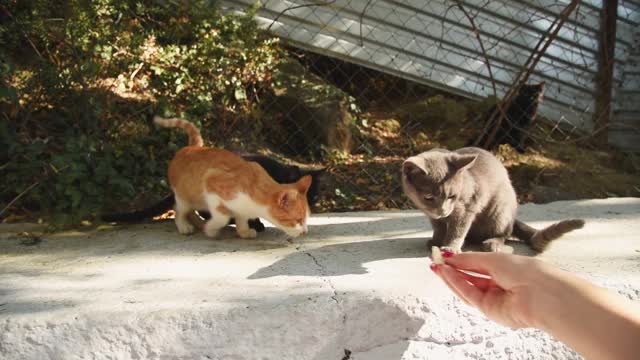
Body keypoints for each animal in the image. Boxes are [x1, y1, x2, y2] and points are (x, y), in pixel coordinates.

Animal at [154, 116, 312, 238]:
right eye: (298, 219)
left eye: (306, 219)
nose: (305, 232)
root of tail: (191, 147)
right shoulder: (211, 182)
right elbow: (223, 217)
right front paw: (211, 229)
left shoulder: (242, 209)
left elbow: (241, 218)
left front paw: (244, 232)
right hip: (185, 196)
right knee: (179, 208)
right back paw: (184, 226)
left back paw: (199, 223)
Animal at [402, 148, 588, 252]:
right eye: (428, 197)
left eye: (452, 196)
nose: (443, 211)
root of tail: (513, 217)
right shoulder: (432, 216)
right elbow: (439, 227)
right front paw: (436, 240)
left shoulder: (466, 207)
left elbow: (458, 229)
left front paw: (451, 247)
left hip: (500, 210)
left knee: (504, 233)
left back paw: (493, 243)